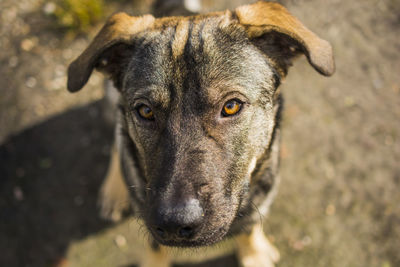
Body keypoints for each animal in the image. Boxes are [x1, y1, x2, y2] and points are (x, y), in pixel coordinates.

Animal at [66, 1, 334, 266]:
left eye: (231, 106)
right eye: (145, 111)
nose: (174, 223)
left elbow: (248, 227)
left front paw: (252, 253)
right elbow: (155, 246)